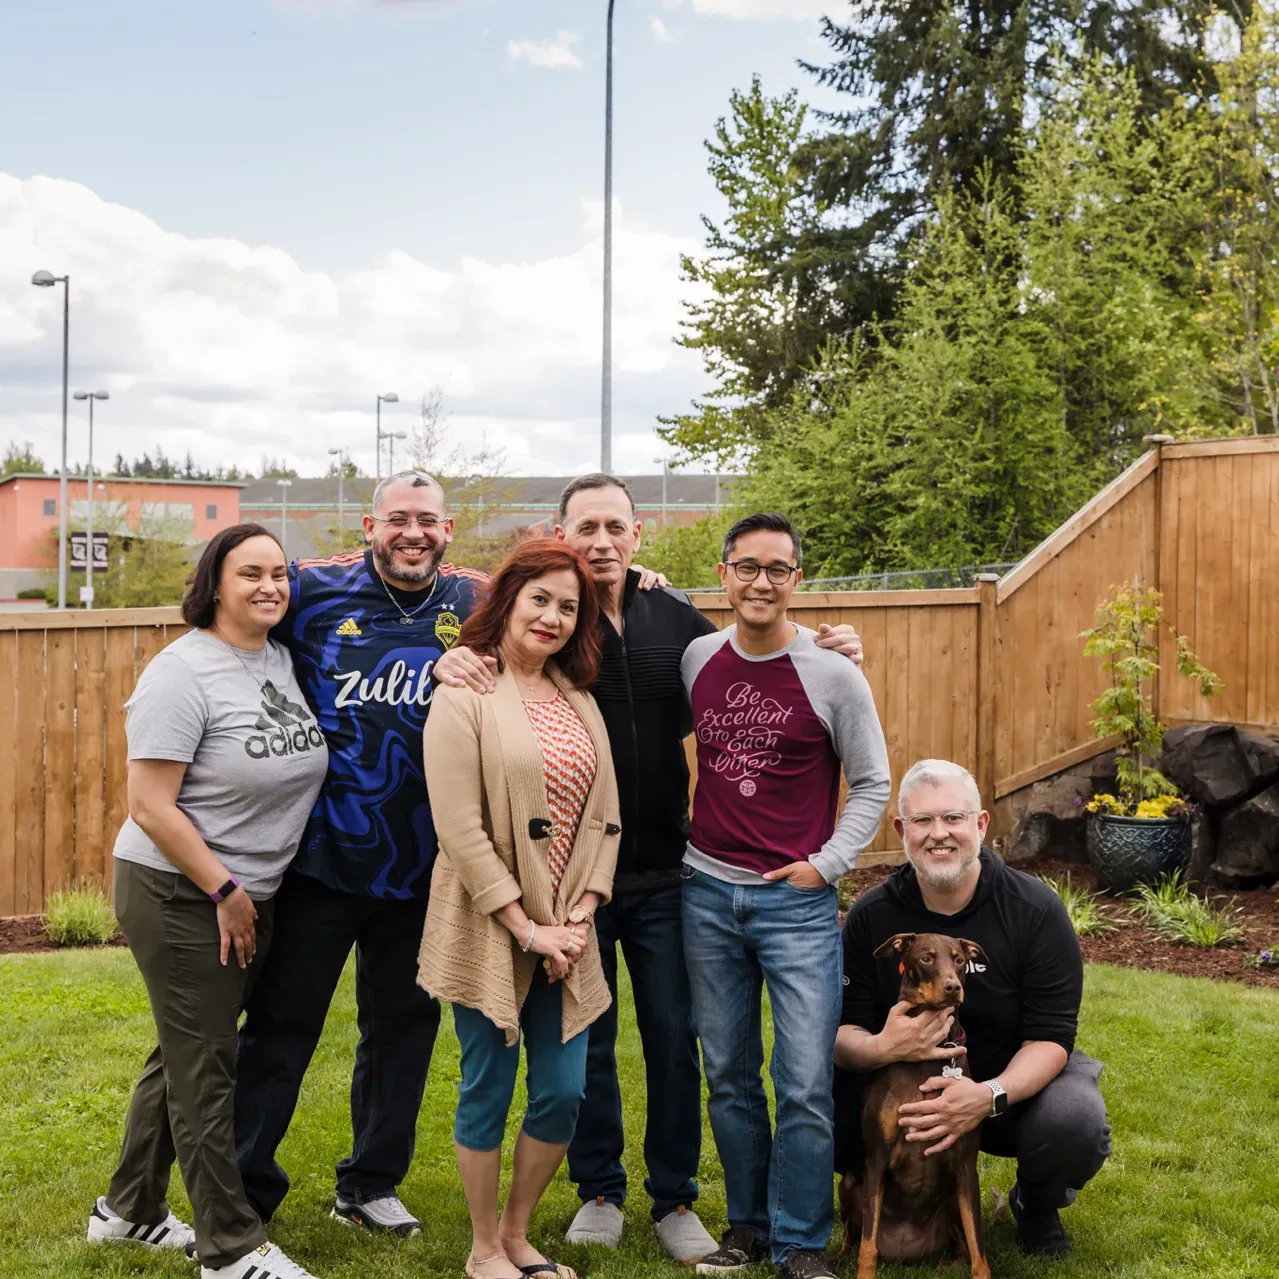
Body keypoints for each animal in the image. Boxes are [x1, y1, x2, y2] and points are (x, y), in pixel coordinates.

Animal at [844, 931, 992, 1279]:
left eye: (959, 960)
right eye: (926, 958)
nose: (953, 987)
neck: (927, 1057)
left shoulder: (966, 1166)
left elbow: (978, 1247)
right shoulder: (876, 1160)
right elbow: (868, 1245)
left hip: (953, 1200)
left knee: (963, 1246)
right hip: (849, 1182)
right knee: (852, 1235)